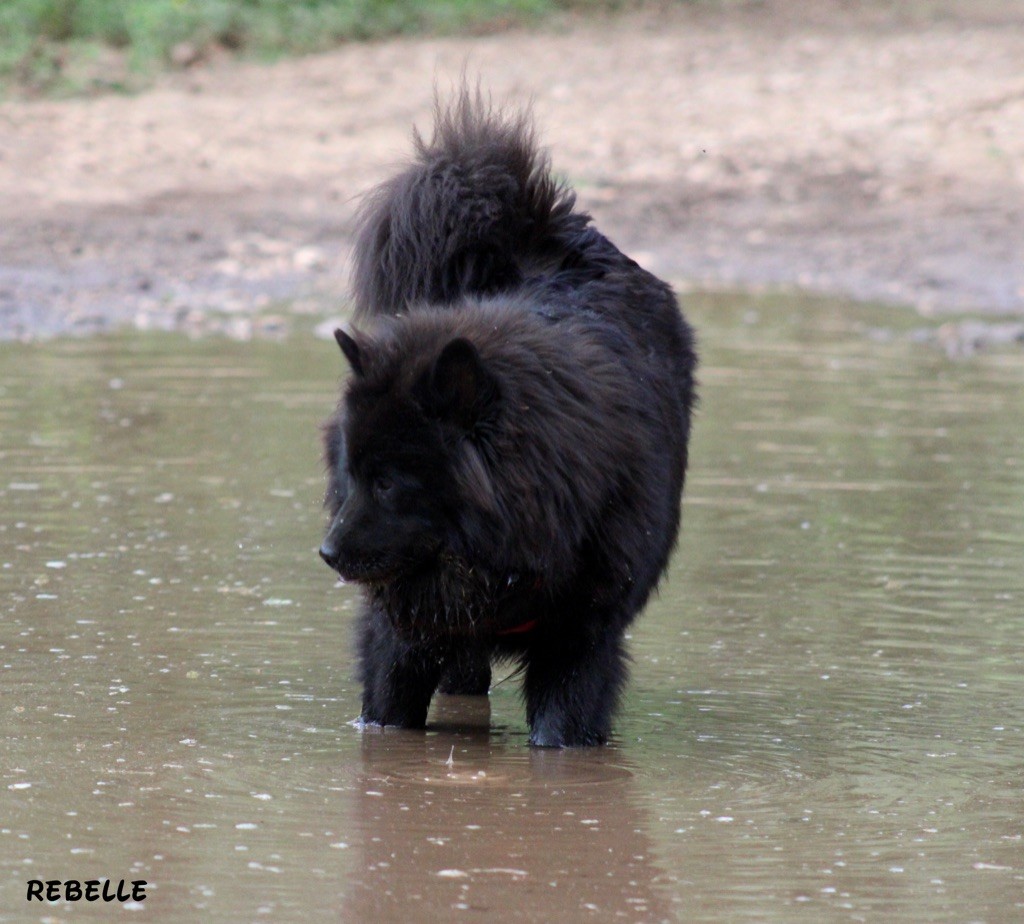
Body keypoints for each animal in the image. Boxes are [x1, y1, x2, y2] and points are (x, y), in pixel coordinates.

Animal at [317, 92, 696, 745]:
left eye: (388, 482)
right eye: (352, 477)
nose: (328, 552)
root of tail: (545, 236)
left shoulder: (581, 641)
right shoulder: (403, 633)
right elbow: (389, 712)